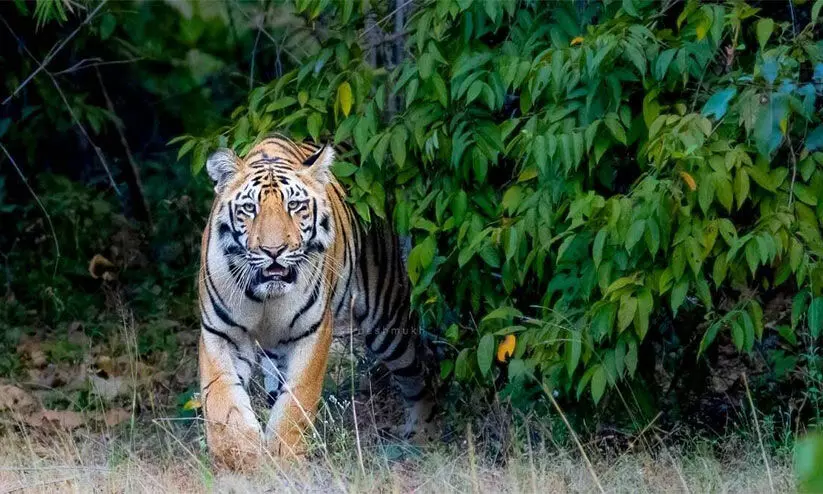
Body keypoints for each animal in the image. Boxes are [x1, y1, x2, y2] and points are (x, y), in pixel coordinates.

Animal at [198, 136, 435, 469]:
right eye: (249, 208)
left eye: (294, 206)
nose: (274, 250)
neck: (266, 296)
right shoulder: (219, 333)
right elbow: (221, 398)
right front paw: (240, 455)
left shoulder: (313, 333)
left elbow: (297, 400)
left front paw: (285, 458)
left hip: (387, 323)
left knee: (422, 372)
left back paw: (422, 437)